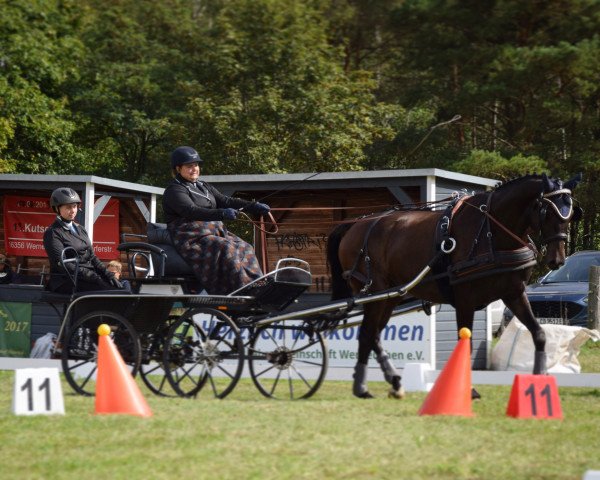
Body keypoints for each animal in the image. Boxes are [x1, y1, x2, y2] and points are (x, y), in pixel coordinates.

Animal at [328, 172, 580, 398]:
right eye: (548, 212)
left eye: (570, 214)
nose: (557, 260)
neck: (491, 230)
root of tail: (356, 224)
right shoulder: (465, 300)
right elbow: (464, 345)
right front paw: (468, 390)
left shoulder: (514, 293)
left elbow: (539, 334)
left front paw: (539, 378)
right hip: (375, 294)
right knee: (367, 334)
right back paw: (361, 387)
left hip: (389, 297)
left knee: (374, 335)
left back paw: (393, 381)